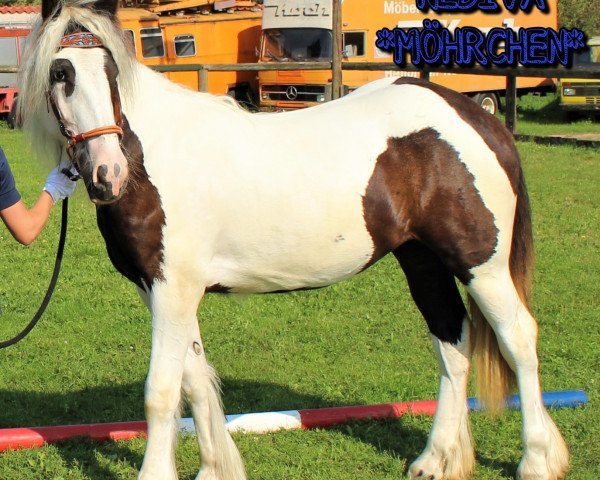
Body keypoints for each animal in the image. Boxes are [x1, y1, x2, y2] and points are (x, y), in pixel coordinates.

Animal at [18, 1, 568, 478]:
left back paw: (537, 460)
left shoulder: (174, 290)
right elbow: (196, 381)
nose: (106, 174)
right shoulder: (159, 290)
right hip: (423, 261)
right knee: (453, 342)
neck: (151, 159)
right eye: (61, 73)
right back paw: (435, 460)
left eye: (111, 71)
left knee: (519, 339)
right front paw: (215, 468)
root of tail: (476, 117)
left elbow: (163, 391)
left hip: (481, 264)